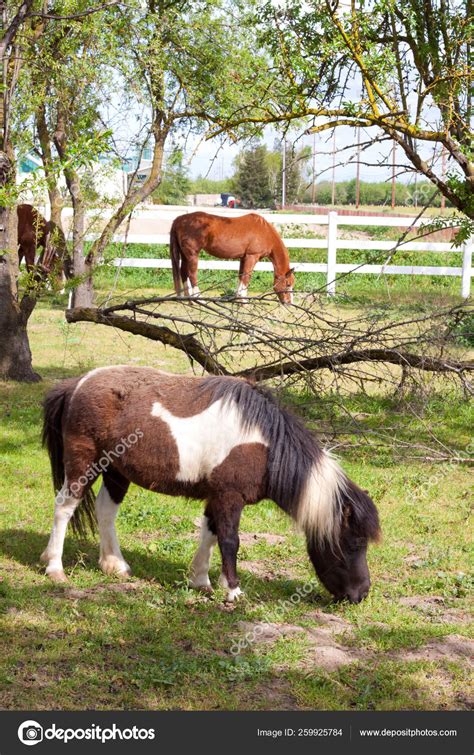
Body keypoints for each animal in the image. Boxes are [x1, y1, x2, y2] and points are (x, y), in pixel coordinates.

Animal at [41, 366, 382, 604]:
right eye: (354, 543)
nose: (361, 594)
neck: (264, 443)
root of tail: (76, 385)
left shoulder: (215, 496)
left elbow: (209, 533)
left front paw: (201, 580)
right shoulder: (230, 497)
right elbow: (230, 541)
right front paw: (232, 591)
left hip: (115, 471)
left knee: (105, 511)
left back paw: (115, 565)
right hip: (84, 463)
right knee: (64, 507)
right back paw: (55, 569)